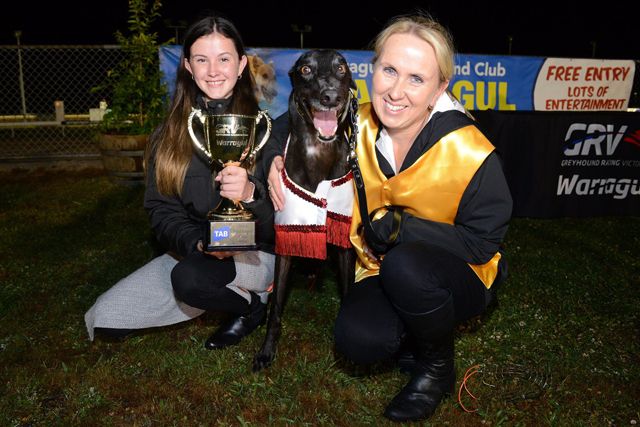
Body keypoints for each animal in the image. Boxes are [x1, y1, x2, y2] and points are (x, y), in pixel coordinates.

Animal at [253, 49, 356, 372]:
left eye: (341, 67)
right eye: (306, 69)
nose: (330, 96)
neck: (317, 149)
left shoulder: (343, 240)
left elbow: (347, 291)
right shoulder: (286, 239)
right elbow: (275, 307)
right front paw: (266, 350)